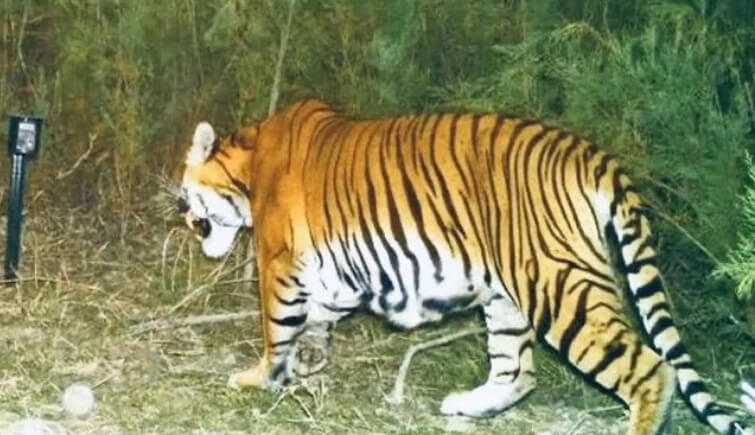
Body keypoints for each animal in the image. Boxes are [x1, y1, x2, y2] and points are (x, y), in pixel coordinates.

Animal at [180, 99, 752, 435]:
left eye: (188, 195)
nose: (184, 215)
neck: (247, 164)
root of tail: (591, 154)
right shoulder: (331, 273)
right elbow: (317, 318)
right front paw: (308, 362)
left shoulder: (278, 262)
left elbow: (276, 326)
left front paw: (259, 376)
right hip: (508, 295)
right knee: (517, 371)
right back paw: (467, 406)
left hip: (558, 285)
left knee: (650, 369)